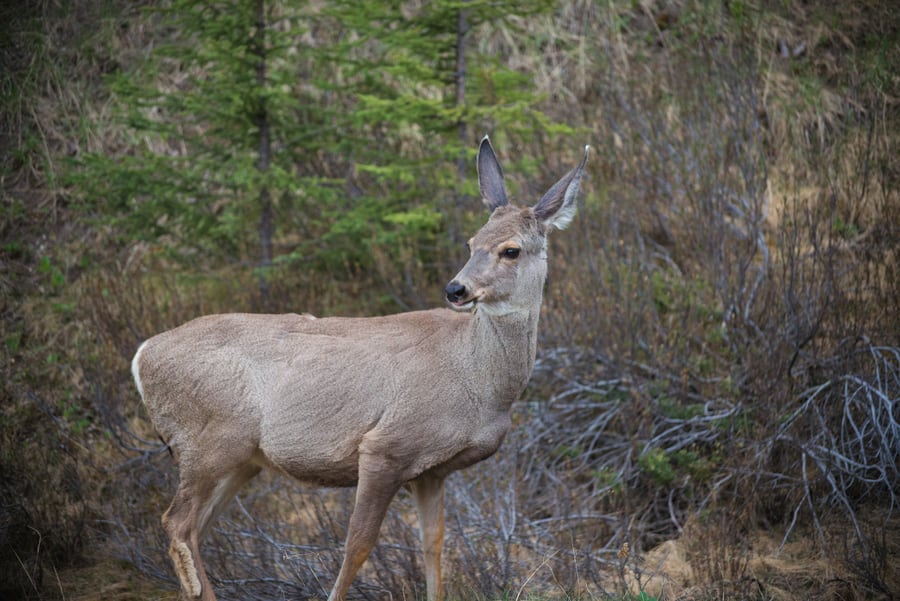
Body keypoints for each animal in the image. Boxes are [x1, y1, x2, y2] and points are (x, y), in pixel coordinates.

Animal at [130, 137, 588, 600]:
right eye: (470, 243)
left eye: (510, 249)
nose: (456, 289)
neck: (476, 379)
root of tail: (142, 354)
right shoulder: (385, 445)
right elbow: (357, 544)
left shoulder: (432, 470)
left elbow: (435, 543)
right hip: (207, 440)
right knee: (177, 524)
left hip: (240, 458)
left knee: (195, 529)